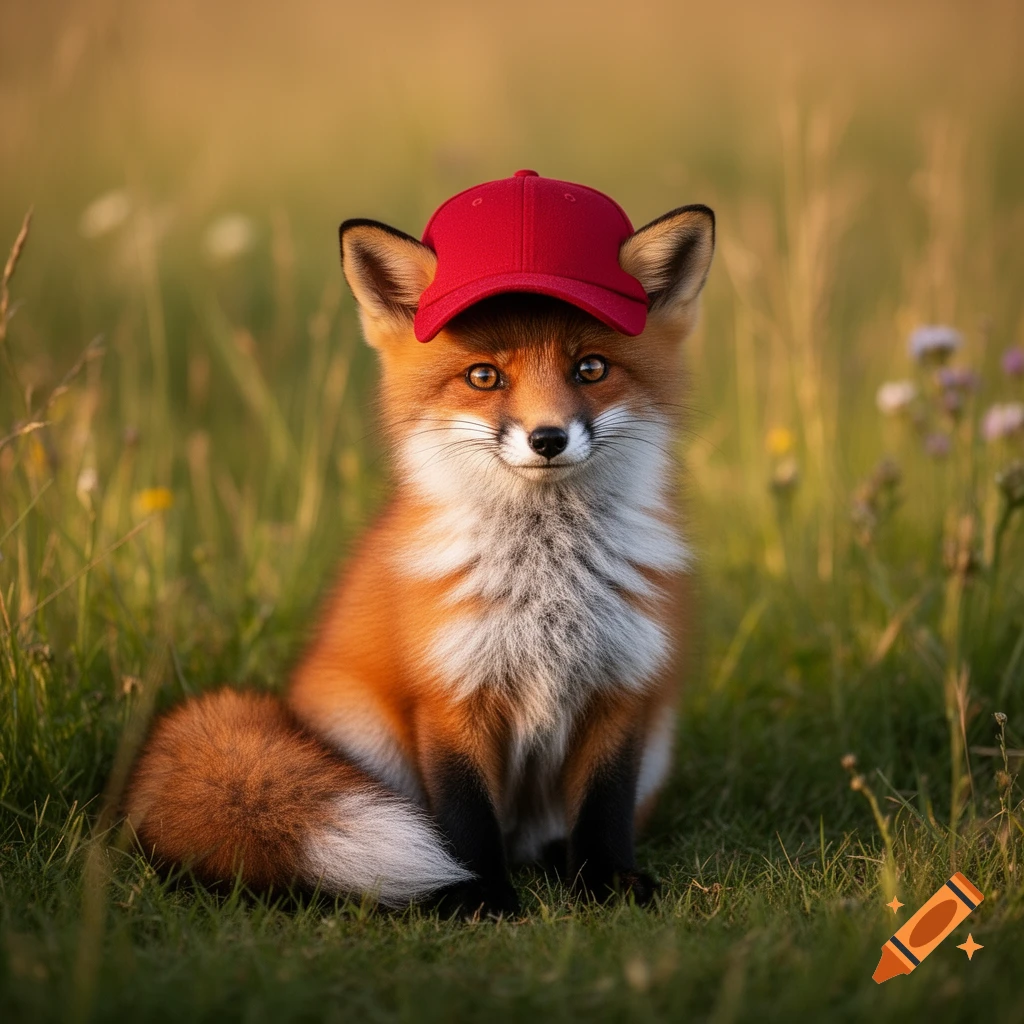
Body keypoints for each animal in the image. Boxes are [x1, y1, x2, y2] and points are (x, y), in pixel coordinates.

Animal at [125, 174, 715, 918]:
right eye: (484, 377)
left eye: (590, 367)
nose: (548, 438)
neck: (547, 585)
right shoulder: (451, 694)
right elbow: (465, 816)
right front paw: (477, 895)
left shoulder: (622, 688)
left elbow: (604, 810)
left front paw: (606, 883)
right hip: (367, 735)